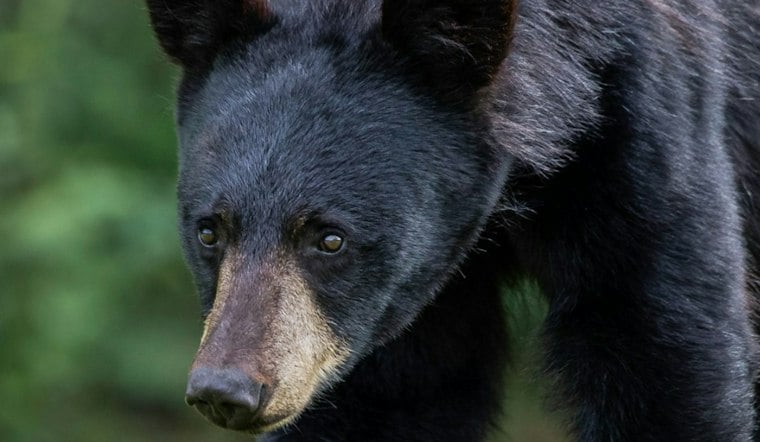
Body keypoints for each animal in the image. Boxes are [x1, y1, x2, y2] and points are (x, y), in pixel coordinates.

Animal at [145, 0, 760, 440]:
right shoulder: (388, 304)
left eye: (330, 238)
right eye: (209, 231)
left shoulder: (642, 128)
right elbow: (386, 399)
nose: (226, 390)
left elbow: (667, 356)